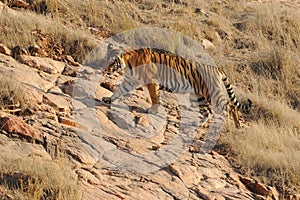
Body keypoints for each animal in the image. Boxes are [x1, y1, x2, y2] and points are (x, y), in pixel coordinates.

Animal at [102, 43, 252, 128]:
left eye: (112, 62)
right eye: (106, 59)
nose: (105, 69)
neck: (128, 63)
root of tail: (216, 68)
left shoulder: (152, 82)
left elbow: (154, 97)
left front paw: (153, 110)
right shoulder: (130, 81)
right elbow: (119, 90)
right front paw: (108, 99)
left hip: (214, 94)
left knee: (231, 106)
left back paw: (238, 125)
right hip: (199, 96)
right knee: (208, 111)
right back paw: (199, 124)